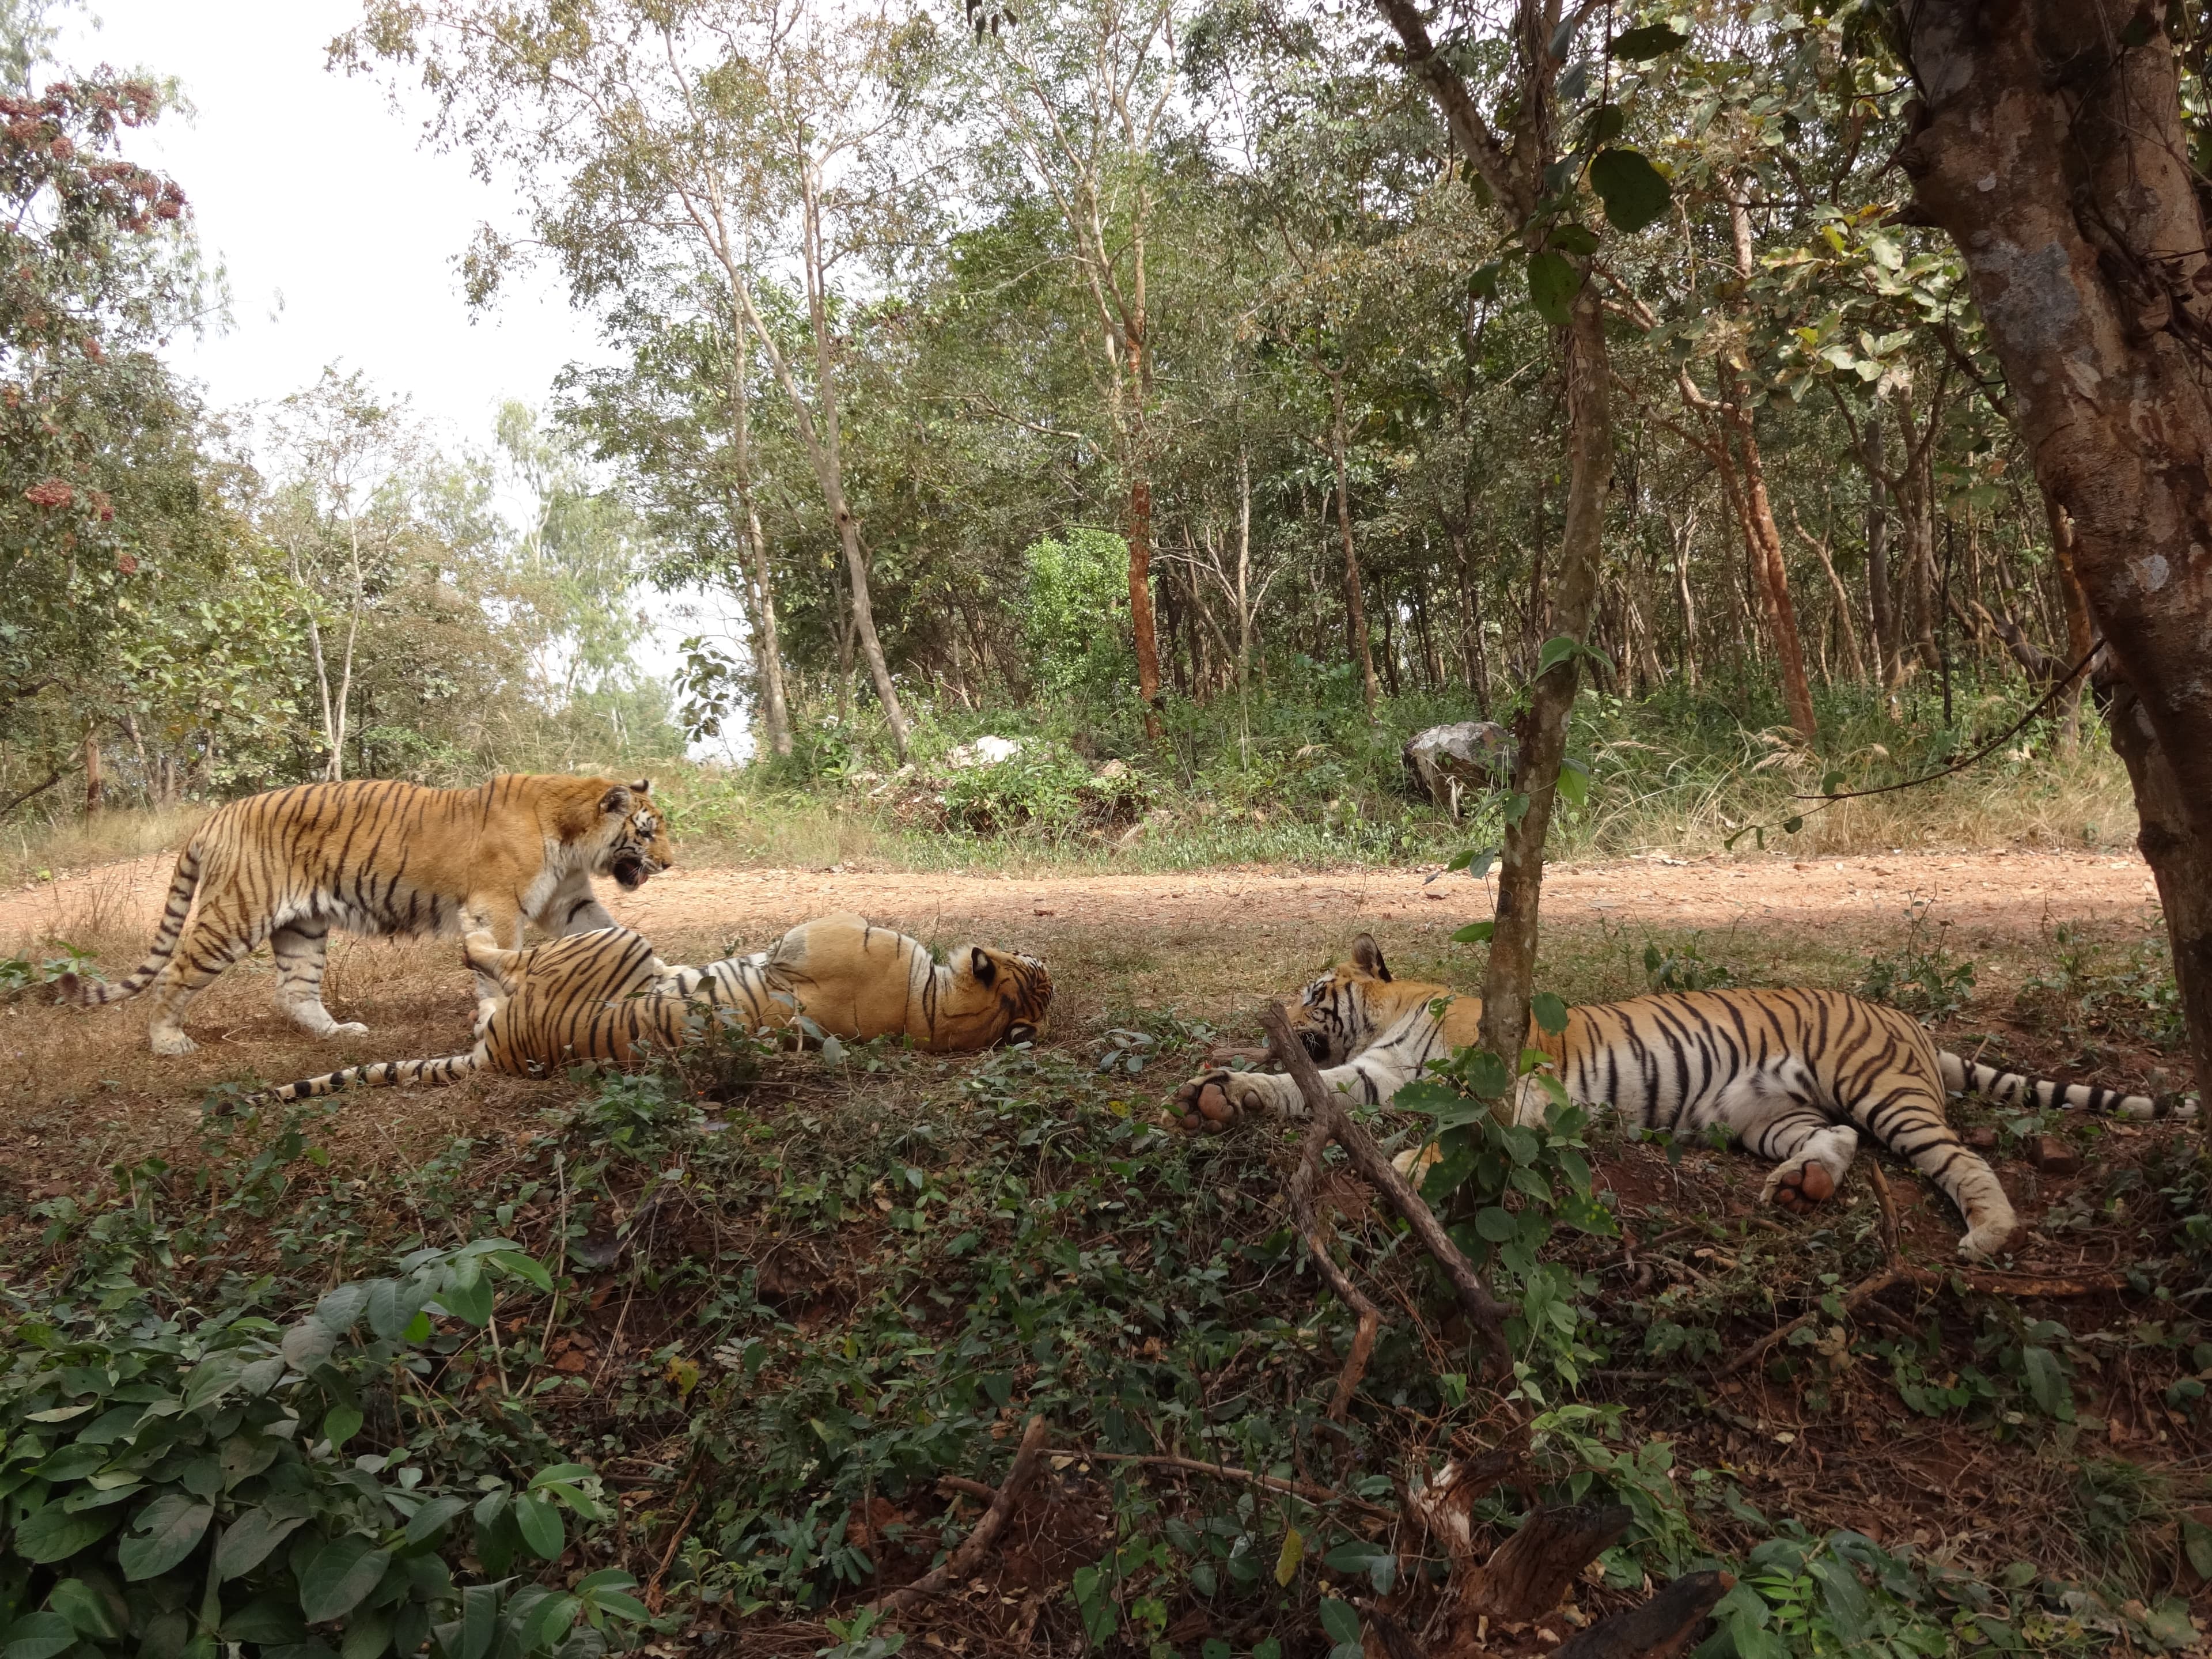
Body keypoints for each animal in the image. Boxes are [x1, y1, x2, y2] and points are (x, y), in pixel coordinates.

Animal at [56, 778, 668, 1057]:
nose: (668, 863)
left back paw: (338, 1033)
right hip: (235, 916)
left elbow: (613, 933)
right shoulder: (494, 906)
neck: (572, 833)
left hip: (301, 928)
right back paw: (168, 1041)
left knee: (293, 991)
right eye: (647, 832)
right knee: (175, 972)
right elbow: (496, 965)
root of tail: (217, 817)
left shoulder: (568, 901)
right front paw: (495, 1018)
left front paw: (658, 974)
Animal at [1168, 938, 2185, 1256]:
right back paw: (1804, 1189)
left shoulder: (1515, 1089)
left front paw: (1412, 1166)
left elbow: (1461, 1137)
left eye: (1314, 988)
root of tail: (1910, 1022)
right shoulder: (1374, 1074)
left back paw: (1989, 1232)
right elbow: (1310, 1093)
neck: (1386, 1018)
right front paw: (1225, 1093)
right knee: (1837, 1145)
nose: (1276, 1010)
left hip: (1881, 1087)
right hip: (1765, 1116)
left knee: (1960, 1156)